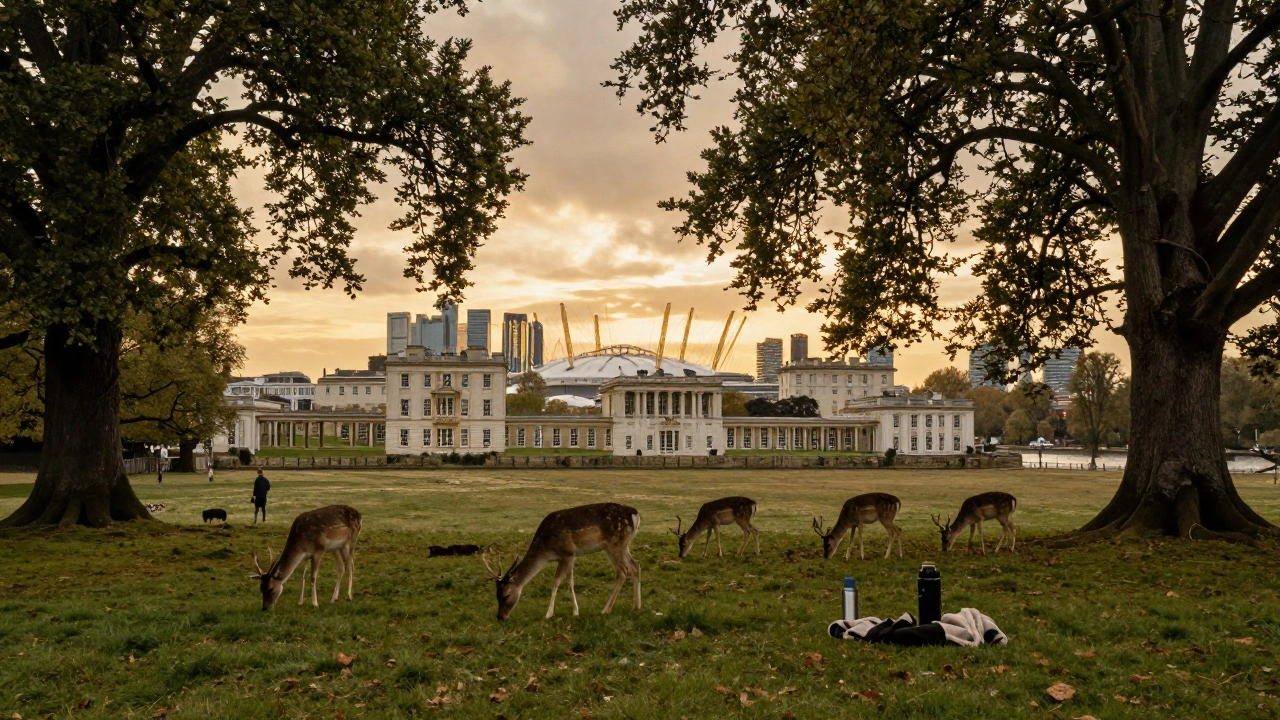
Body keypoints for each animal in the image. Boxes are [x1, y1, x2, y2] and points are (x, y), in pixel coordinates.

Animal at [482, 502, 641, 621]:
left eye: (506, 595)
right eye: (496, 595)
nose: (500, 617)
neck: (545, 551)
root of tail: (635, 514)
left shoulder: (568, 553)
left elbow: (563, 581)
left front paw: (559, 613)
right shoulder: (563, 557)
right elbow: (562, 581)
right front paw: (567, 611)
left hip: (615, 544)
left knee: (623, 571)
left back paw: (606, 610)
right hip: (621, 545)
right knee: (635, 566)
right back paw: (636, 607)